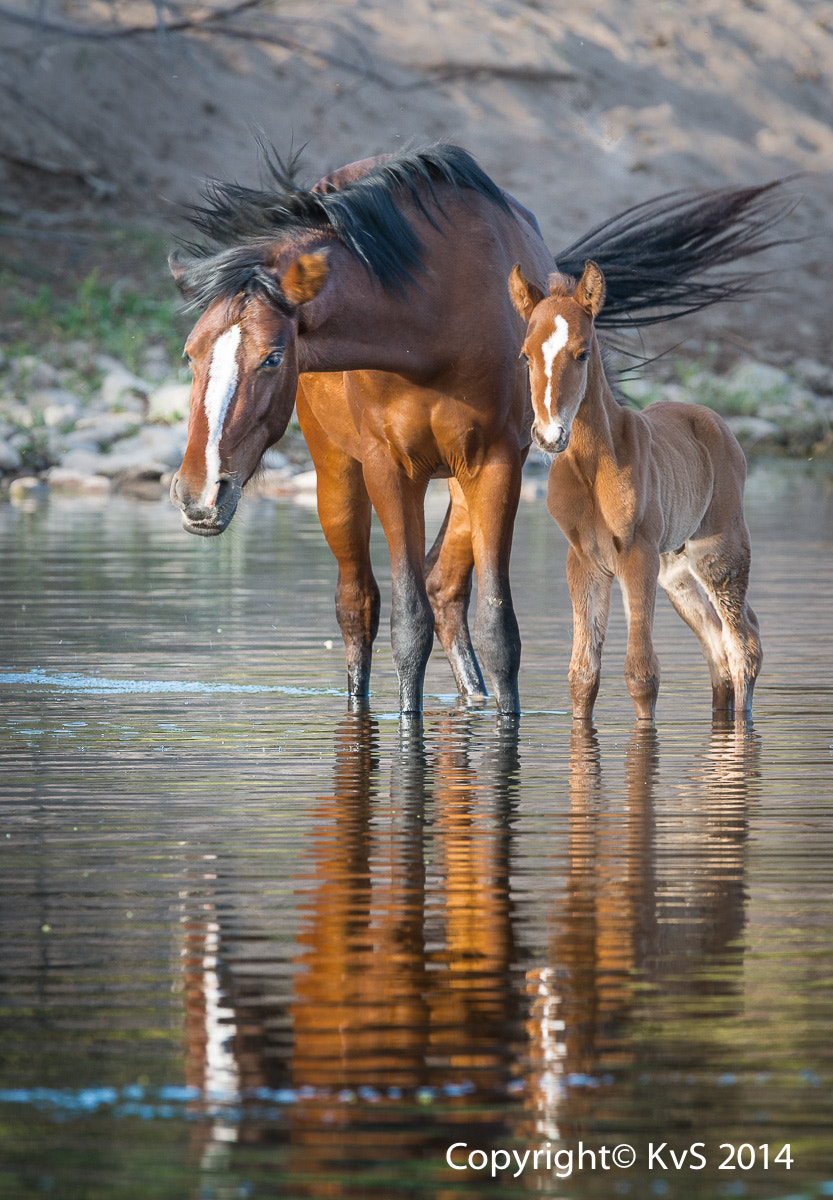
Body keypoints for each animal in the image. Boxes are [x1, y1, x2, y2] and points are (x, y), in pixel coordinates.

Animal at [171, 146, 787, 715]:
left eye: (273, 357)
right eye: (190, 353)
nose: (198, 493)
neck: (430, 321)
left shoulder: (496, 461)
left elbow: (496, 629)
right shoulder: (389, 468)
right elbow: (406, 625)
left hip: (461, 480)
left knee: (443, 588)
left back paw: (473, 697)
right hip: (336, 470)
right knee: (359, 605)